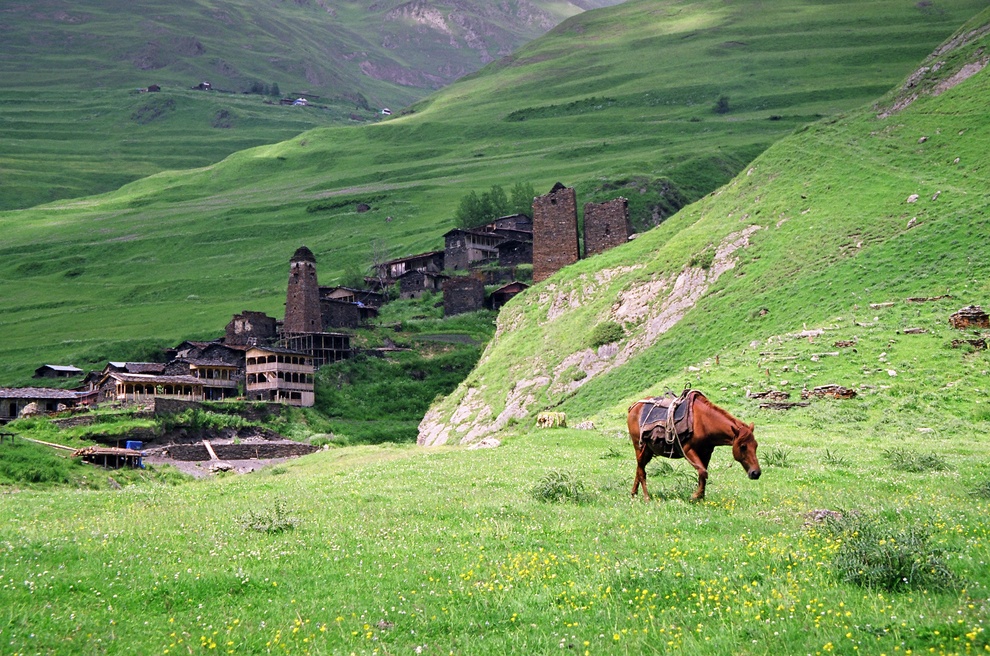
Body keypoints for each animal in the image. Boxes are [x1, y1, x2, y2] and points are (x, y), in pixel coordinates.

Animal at [632, 392, 764, 500]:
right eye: (743, 446)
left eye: (756, 446)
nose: (756, 473)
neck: (703, 422)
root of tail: (633, 407)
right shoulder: (688, 450)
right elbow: (703, 472)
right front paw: (695, 496)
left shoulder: (706, 453)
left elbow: (703, 474)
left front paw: (701, 497)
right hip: (639, 448)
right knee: (642, 472)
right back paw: (646, 497)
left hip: (647, 450)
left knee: (639, 469)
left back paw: (633, 494)